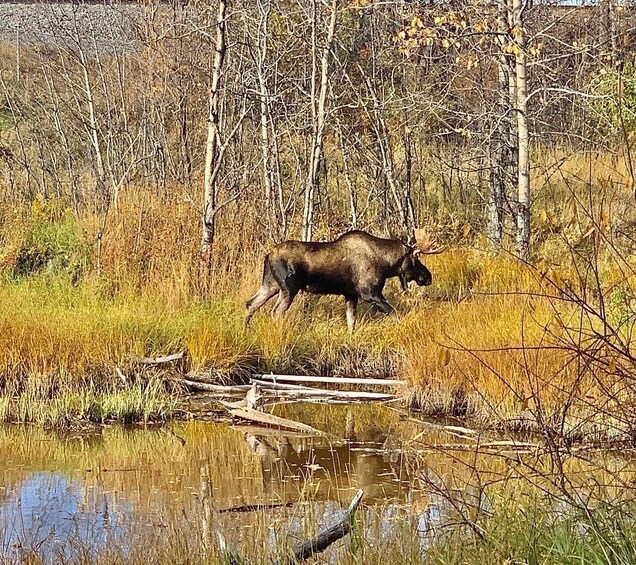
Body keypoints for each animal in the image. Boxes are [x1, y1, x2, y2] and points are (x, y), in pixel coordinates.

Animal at [243, 229, 442, 330]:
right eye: (416, 259)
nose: (428, 277)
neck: (386, 264)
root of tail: (268, 255)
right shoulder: (370, 294)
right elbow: (394, 314)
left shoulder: (350, 295)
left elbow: (351, 322)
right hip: (288, 288)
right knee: (275, 312)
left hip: (270, 285)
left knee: (250, 304)